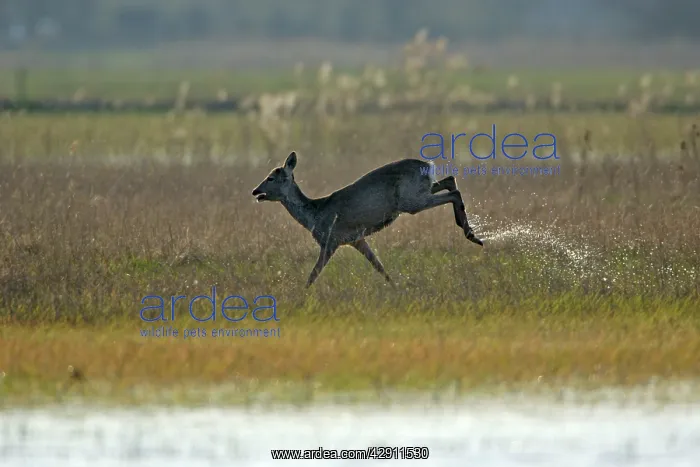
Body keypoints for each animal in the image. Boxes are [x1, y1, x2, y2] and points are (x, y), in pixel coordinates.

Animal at [251, 151, 483, 288]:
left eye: (270, 178)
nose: (256, 191)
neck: (314, 215)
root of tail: (428, 164)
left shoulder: (330, 240)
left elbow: (314, 273)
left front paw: (302, 294)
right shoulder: (357, 239)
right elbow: (378, 265)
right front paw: (395, 287)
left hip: (411, 201)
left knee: (454, 192)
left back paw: (472, 235)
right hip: (420, 192)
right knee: (450, 180)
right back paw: (473, 233)